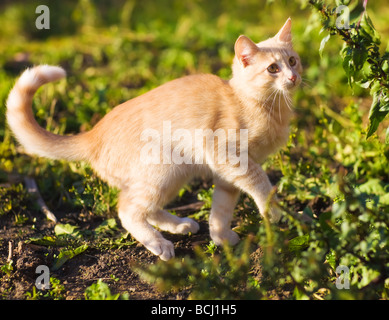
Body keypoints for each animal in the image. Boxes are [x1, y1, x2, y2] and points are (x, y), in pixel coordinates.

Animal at [7, 18, 302, 260]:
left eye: (292, 61)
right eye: (272, 69)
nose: (293, 77)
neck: (255, 103)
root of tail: (93, 134)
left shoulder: (227, 174)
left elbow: (221, 207)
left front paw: (220, 237)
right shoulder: (230, 157)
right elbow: (261, 183)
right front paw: (273, 210)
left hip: (174, 175)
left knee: (145, 208)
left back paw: (179, 225)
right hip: (162, 170)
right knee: (127, 210)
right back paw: (158, 243)